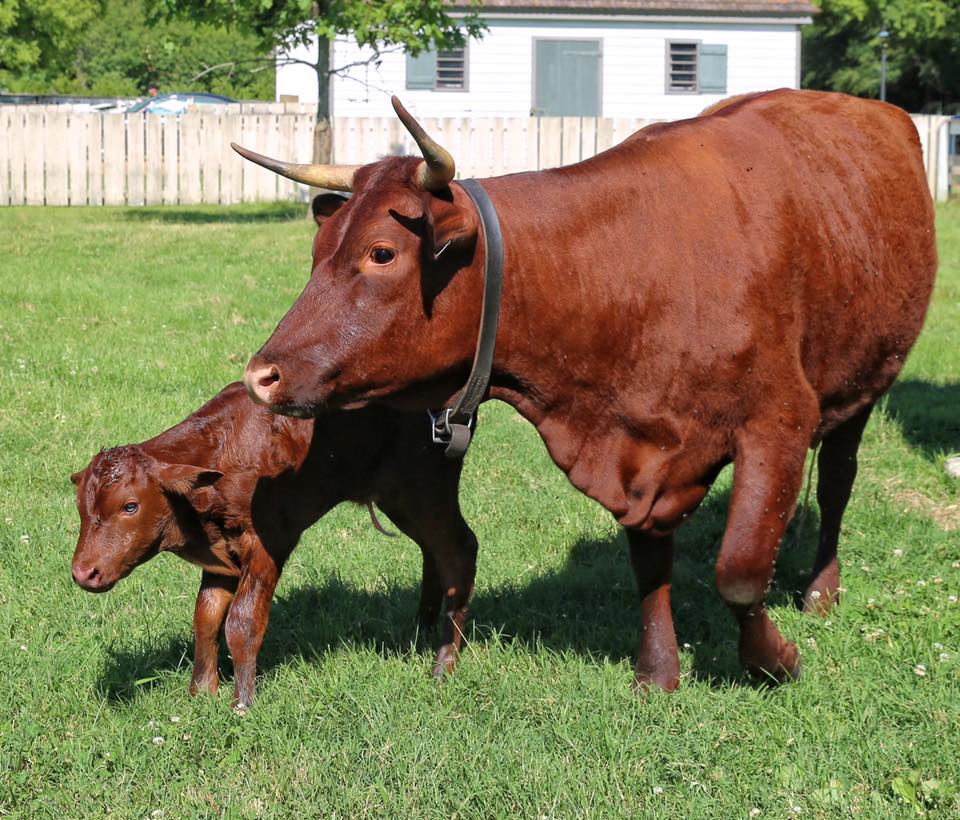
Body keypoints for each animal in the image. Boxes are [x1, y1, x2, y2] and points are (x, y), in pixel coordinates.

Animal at [71, 383, 478, 707]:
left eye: (130, 506)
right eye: (80, 507)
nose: (82, 573)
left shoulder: (268, 541)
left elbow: (242, 619)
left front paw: (242, 702)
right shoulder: (220, 554)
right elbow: (206, 616)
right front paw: (202, 693)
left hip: (423, 489)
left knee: (460, 549)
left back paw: (443, 663)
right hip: (403, 500)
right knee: (434, 551)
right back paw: (422, 627)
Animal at [234, 89, 937, 690]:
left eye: (381, 253)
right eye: (319, 249)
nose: (261, 375)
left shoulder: (779, 422)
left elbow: (738, 571)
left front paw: (777, 659)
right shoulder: (642, 449)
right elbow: (650, 563)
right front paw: (658, 670)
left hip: (865, 381)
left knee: (838, 482)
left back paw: (821, 590)